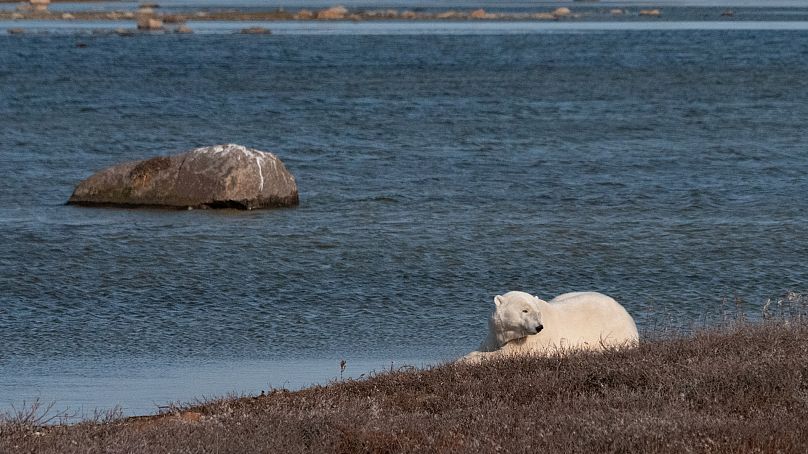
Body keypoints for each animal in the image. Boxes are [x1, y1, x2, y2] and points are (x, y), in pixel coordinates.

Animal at [464, 290, 640, 362]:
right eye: (525, 310)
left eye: (538, 312)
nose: (538, 327)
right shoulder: (495, 334)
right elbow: (487, 346)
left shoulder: (533, 342)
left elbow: (507, 353)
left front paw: (467, 359)